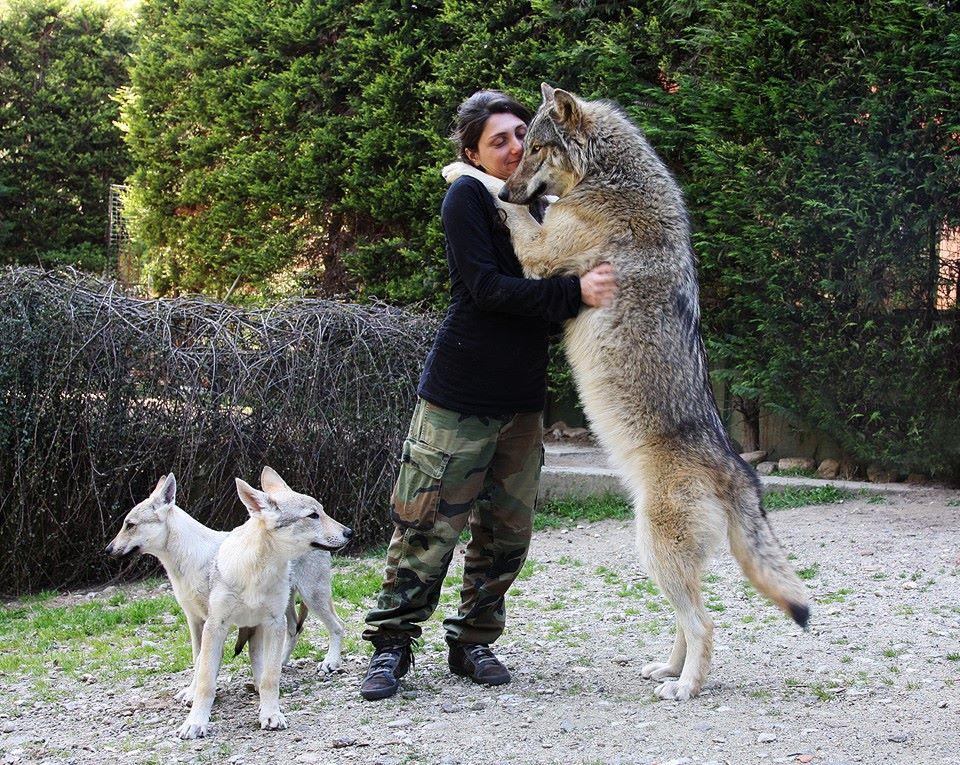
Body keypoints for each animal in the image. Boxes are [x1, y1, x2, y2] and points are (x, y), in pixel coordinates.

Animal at [104, 466, 348, 724]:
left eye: (129, 525)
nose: (108, 549)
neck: (190, 559)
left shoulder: (219, 621)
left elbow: (206, 663)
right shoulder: (198, 620)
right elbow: (200, 661)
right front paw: (194, 693)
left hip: (313, 597)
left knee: (337, 625)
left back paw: (330, 662)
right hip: (288, 606)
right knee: (294, 629)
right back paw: (282, 661)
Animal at [444, 83, 808, 700]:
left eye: (534, 148)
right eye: (517, 145)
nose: (513, 181)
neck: (609, 180)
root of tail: (742, 470)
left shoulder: (540, 251)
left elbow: (510, 208)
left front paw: (462, 173)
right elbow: (524, 206)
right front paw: (474, 177)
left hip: (656, 552)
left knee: (704, 622)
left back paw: (685, 688)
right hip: (653, 555)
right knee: (688, 620)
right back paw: (667, 670)